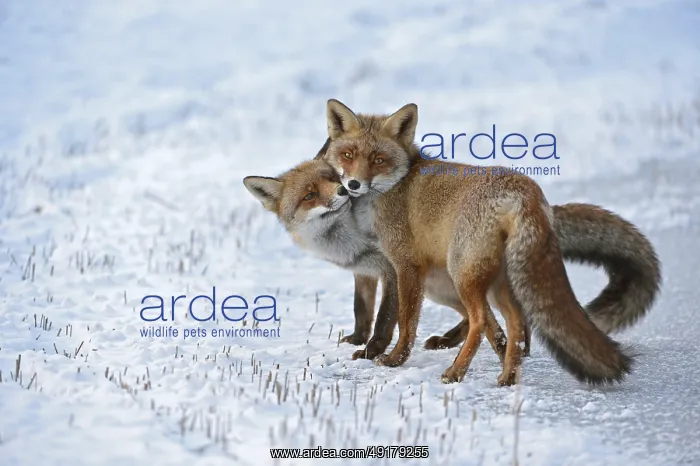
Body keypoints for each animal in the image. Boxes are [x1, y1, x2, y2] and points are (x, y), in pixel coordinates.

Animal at [319, 98, 660, 386]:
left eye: (378, 159)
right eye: (348, 155)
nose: (353, 184)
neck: (394, 188)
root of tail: (527, 191)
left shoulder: (405, 265)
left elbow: (404, 321)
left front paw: (393, 359)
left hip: (461, 273)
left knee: (480, 320)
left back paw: (456, 371)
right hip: (495, 280)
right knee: (514, 322)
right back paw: (508, 376)